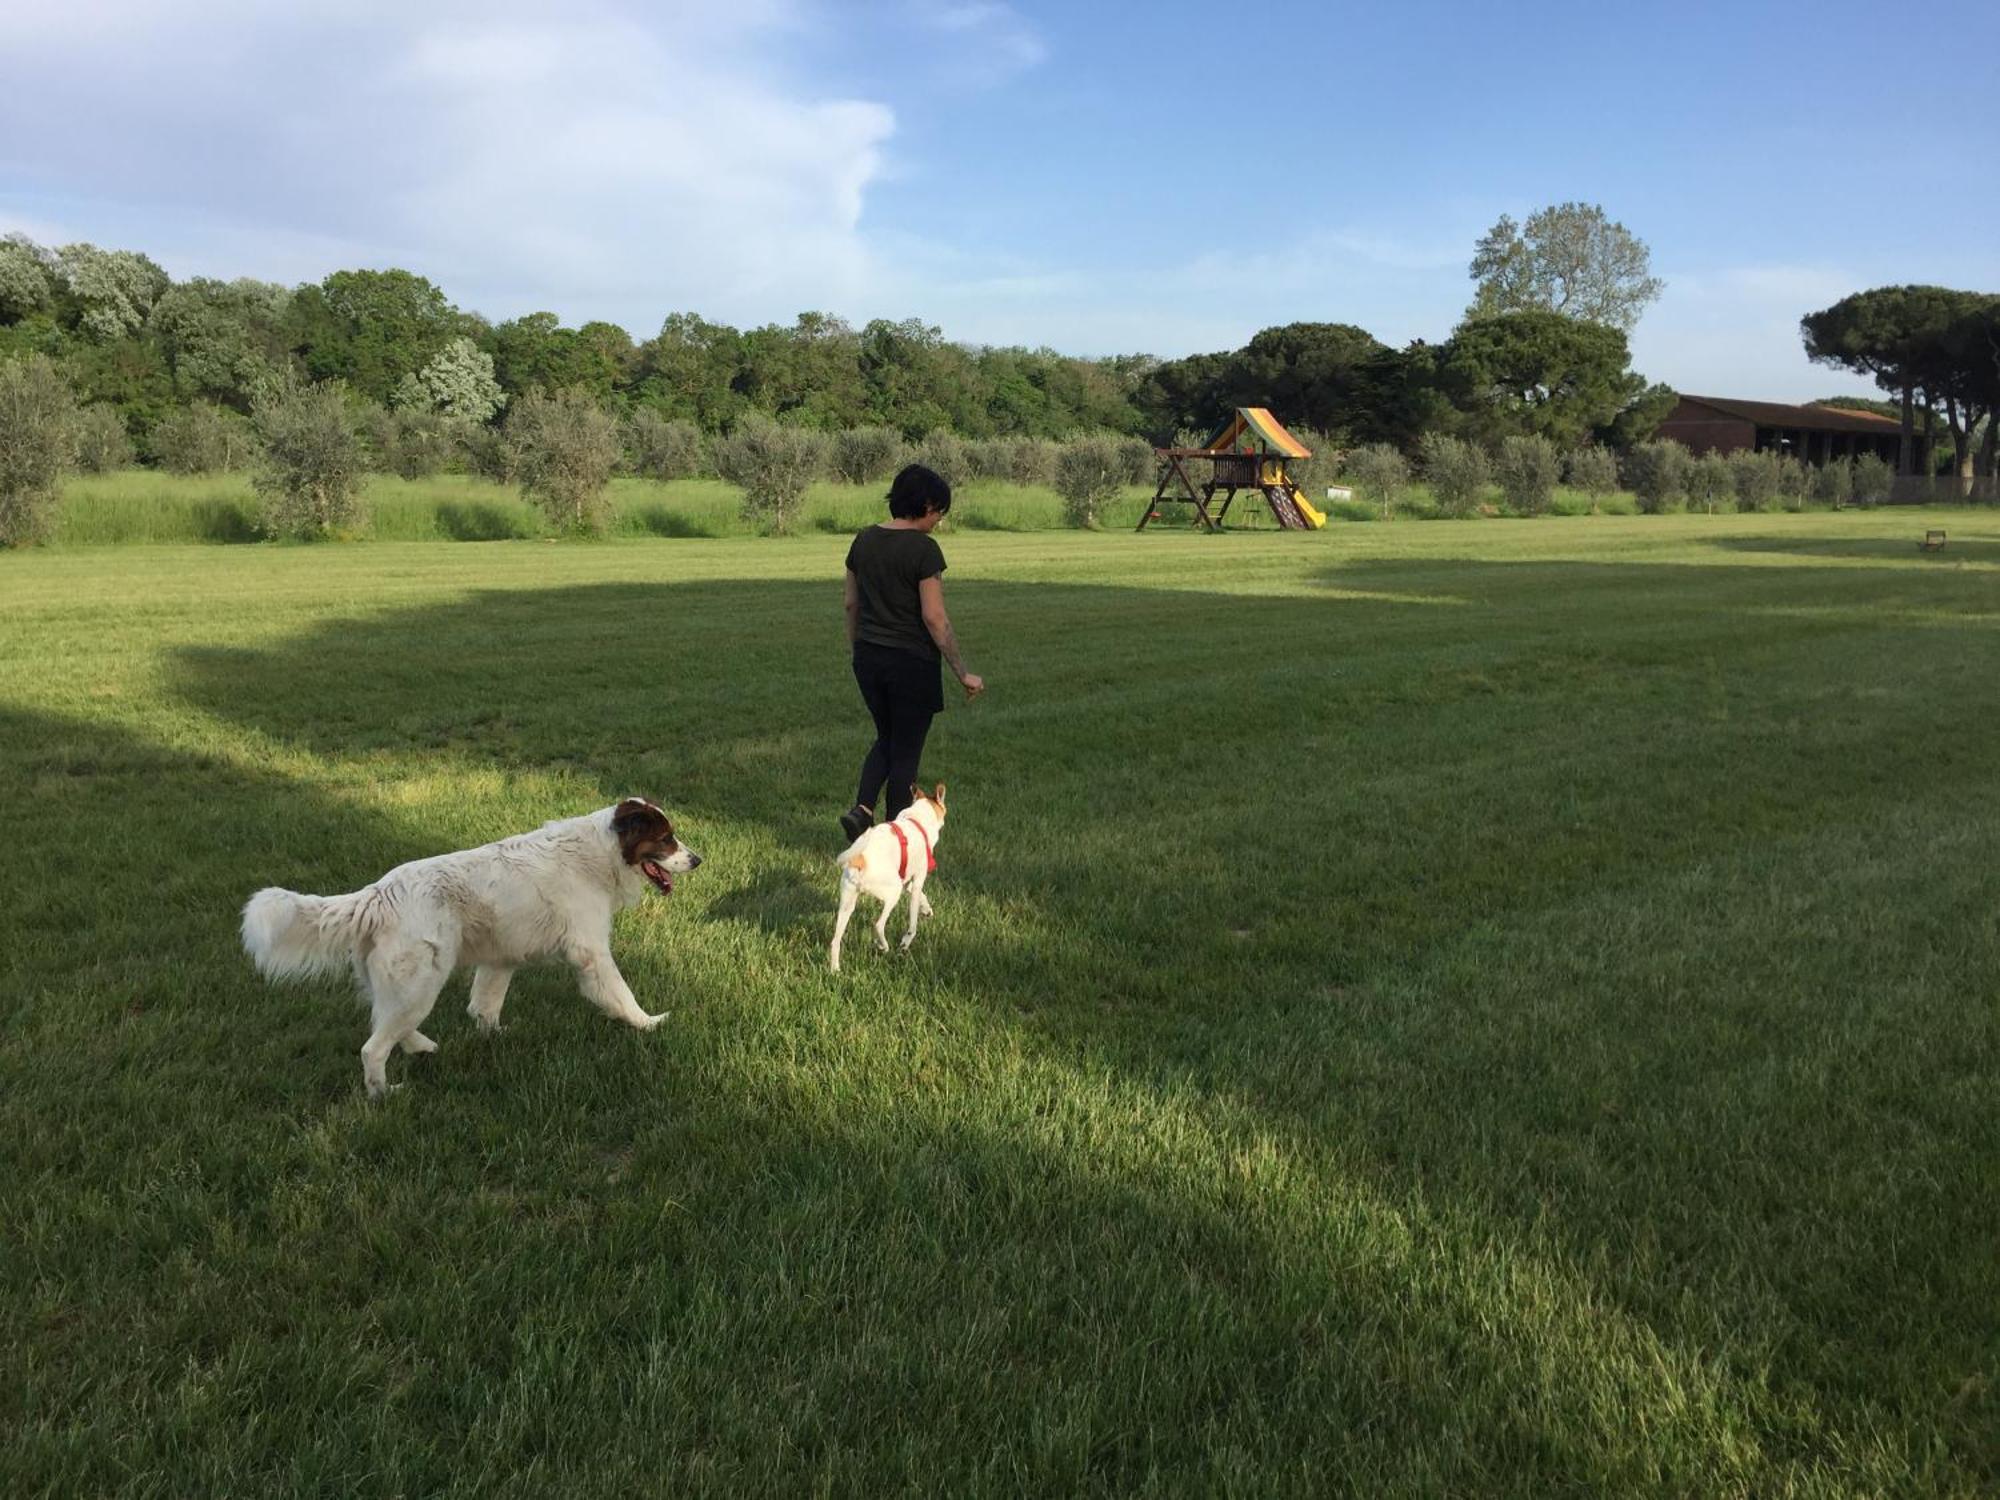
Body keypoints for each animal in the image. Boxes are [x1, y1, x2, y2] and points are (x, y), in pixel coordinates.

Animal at [243, 804, 704, 1096]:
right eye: (666, 839)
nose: (698, 860)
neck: (598, 853)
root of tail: (377, 895)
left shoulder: (499, 959)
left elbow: (484, 1007)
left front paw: (495, 1037)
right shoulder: (591, 951)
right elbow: (621, 995)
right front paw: (649, 1023)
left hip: (405, 987)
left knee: (387, 1024)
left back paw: (423, 1048)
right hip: (420, 984)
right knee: (373, 1047)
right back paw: (384, 1093)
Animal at [832, 780, 948, 980]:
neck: (916, 820)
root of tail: (860, 858)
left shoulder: (908, 881)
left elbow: (921, 896)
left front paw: (927, 909)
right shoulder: (917, 881)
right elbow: (913, 923)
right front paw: (906, 942)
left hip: (847, 903)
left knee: (835, 940)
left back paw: (835, 970)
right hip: (893, 892)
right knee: (878, 925)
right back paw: (883, 946)